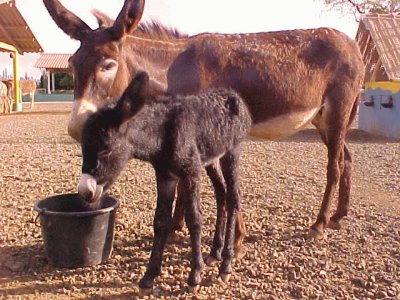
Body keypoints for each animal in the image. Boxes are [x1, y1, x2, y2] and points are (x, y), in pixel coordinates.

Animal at [77, 72, 250, 292]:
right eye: (83, 149)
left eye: (104, 151)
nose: (85, 191)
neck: (163, 134)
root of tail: (231, 93)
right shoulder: (165, 176)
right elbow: (160, 221)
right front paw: (148, 277)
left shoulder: (191, 171)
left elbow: (194, 219)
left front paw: (195, 276)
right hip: (211, 159)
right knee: (222, 194)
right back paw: (215, 252)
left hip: (232, 151)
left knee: (234, 197)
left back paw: (226, 264)